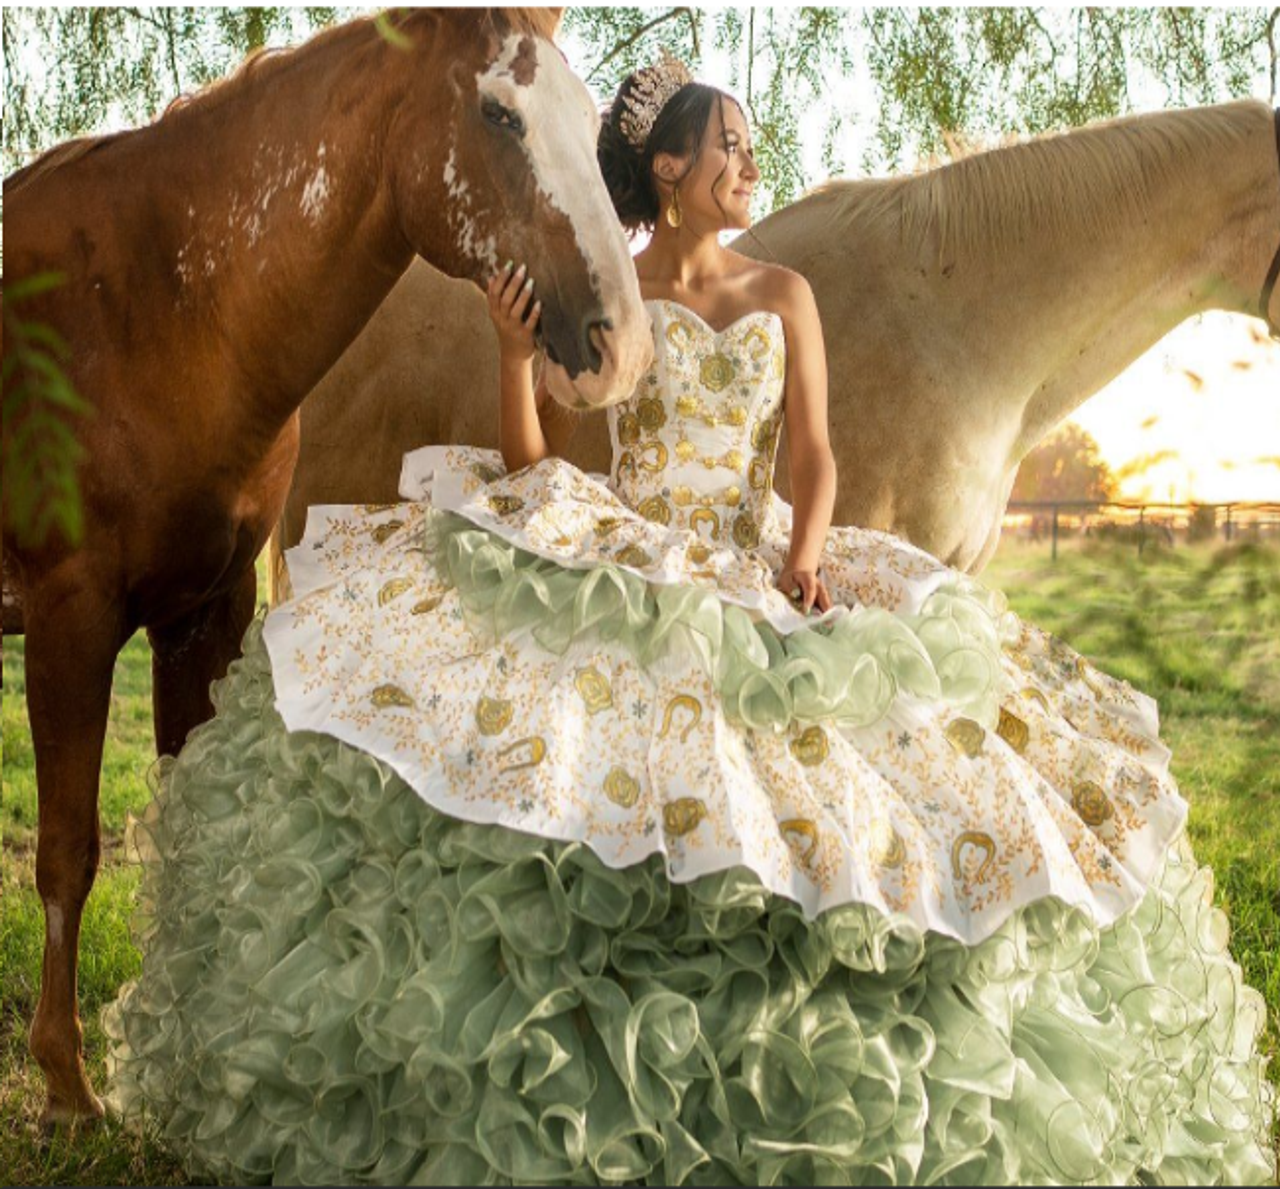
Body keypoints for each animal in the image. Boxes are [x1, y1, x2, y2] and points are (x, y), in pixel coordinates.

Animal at [2, 6, 650, 1121]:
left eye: (583, 113)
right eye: (497, 113)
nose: (622, 346)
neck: (150, 305)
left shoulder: (205, 613)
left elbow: (189, 825)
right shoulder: (68, 622)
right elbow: (68, 852)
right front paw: (72, 1085)